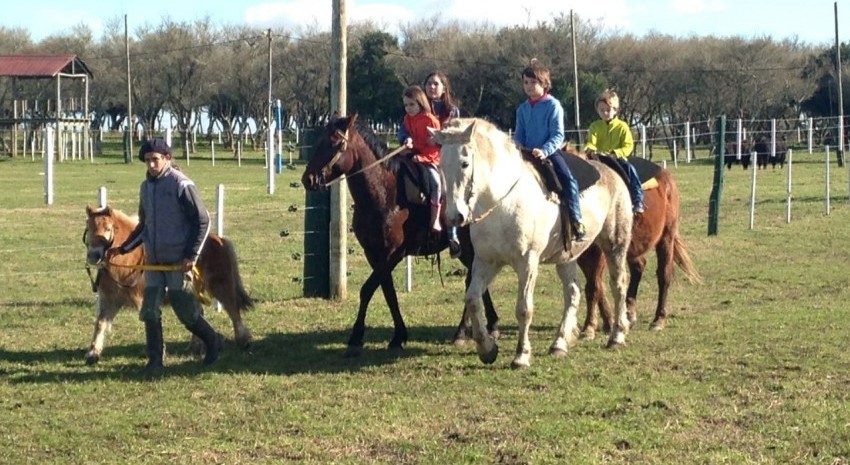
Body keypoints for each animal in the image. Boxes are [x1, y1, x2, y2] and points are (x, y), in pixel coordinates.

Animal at [83, 205, 255, 364]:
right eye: (89, 228)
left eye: (108, 228)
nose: (94, 255)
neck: (127, 262)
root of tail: (219, 239)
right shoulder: (110, 300)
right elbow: (100, 323)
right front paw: (93, 353)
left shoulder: (142, 299)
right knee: (197, 313)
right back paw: (196, 346)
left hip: (220, 284)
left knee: (232, 308)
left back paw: (243, 340)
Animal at [298, 112, 496, 356]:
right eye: (319, 141)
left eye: (335, 143)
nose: (308, 179)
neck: (385, 194)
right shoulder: (374, 254)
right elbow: (387, 291)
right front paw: (398, 336)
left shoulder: (393, 254)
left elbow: (368, 289)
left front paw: (357, 337)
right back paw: (489, 324)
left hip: (469, 247)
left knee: (472, 281)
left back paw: (463, 332)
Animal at [434, 118, 632, 368]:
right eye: (441, 164)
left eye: (464, 163)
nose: (454, 217)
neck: (503, 203)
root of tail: (611, 172)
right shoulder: (486, 262)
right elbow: (472, 299)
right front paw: (487, 348)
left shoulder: (527, 263)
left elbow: (524, 309)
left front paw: (521, 355)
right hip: (568, 257)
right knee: (573, 292)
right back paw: (560, 343)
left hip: (615, 245)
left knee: (618, 285)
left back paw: (617, 336)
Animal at [572, 165, 700, 338]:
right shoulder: (582, 254)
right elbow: (597, 285)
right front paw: (608, 322)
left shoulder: (600, 252)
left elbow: (593, 286)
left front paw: (590, 327)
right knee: (639, 266)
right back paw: (630, 313)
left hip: (666, 237)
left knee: (664, 275)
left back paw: (658, 319)